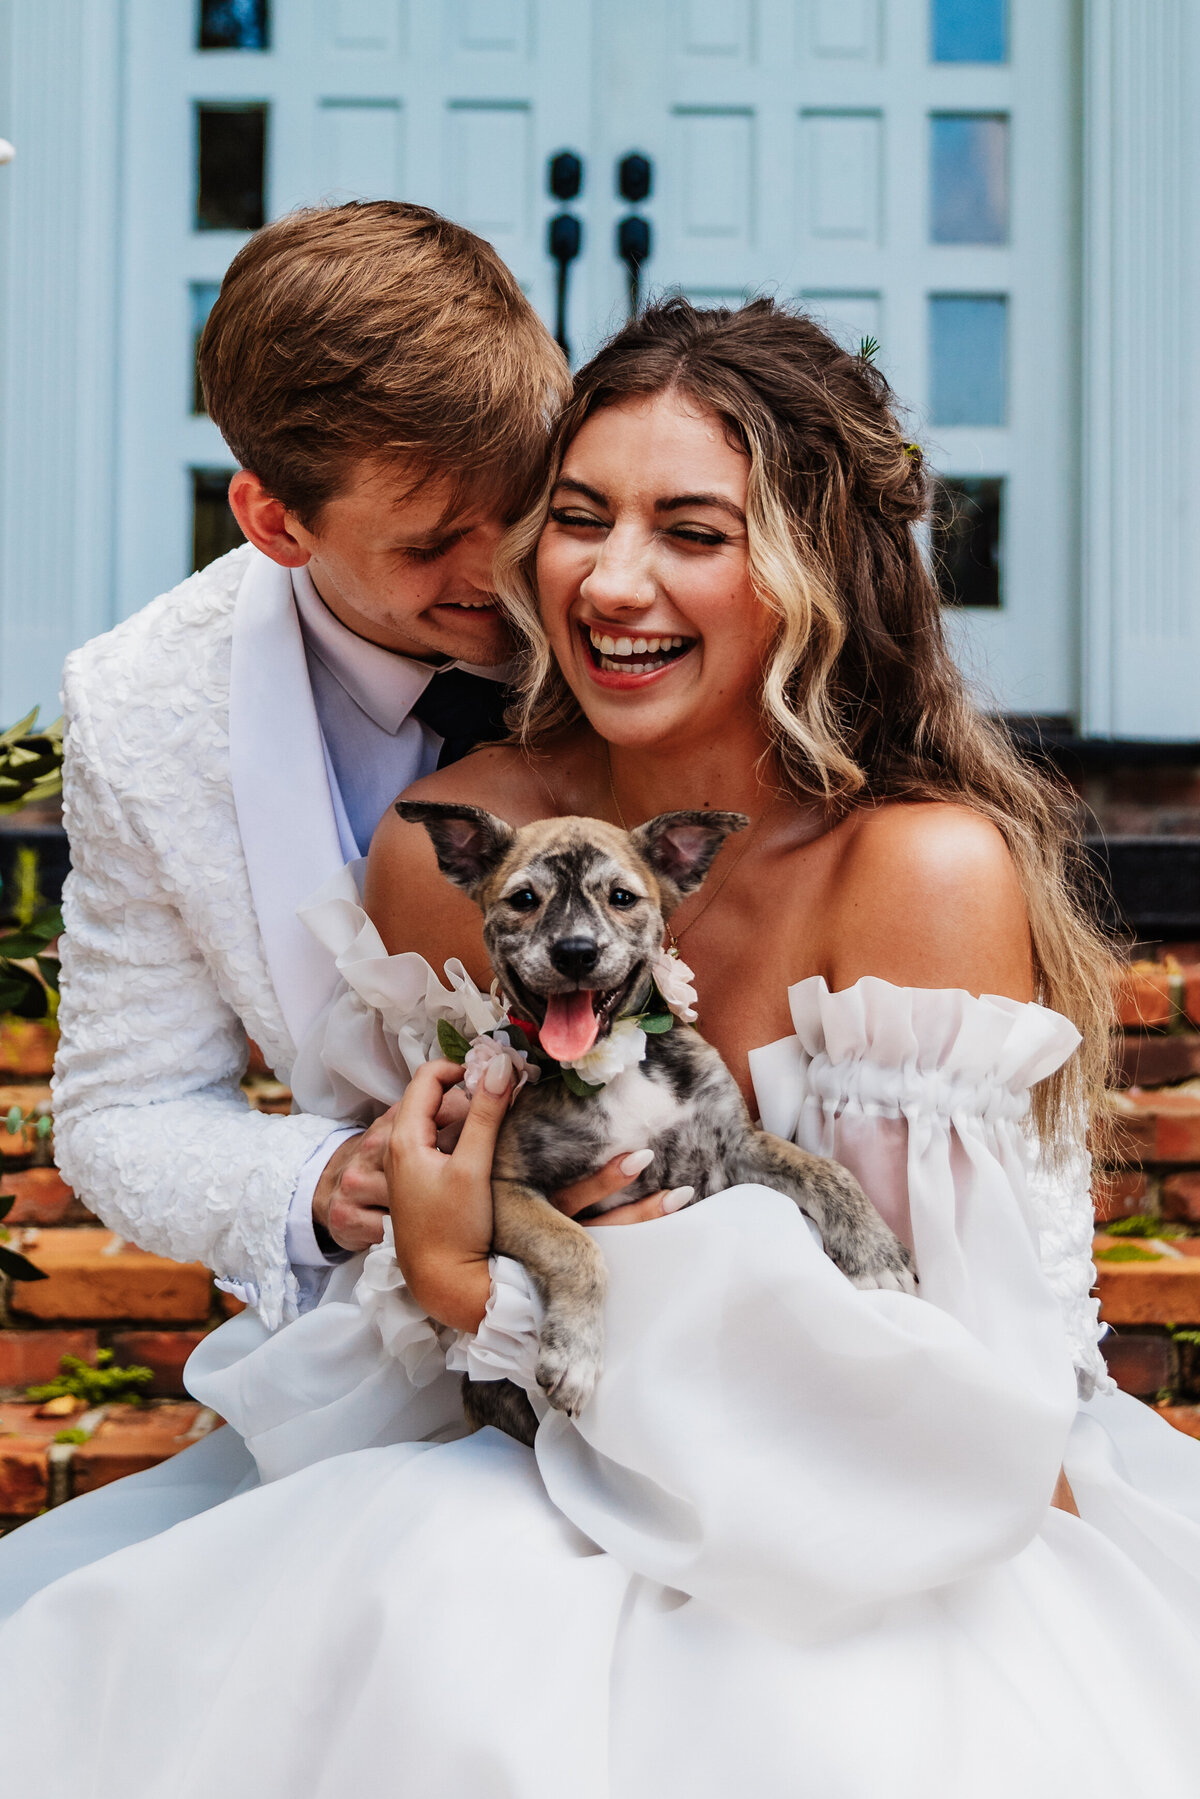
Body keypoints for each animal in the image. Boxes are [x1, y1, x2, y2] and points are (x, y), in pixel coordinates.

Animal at [399, 802, 913, 1446]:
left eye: (622, 897)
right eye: (524, 899)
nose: (575, 951)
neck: (614, 1064)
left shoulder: (734, 1148)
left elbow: (828, 1170)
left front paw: (875, 1255)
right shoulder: (504, 1189)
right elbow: (574, 1246)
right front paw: (576, 1355)